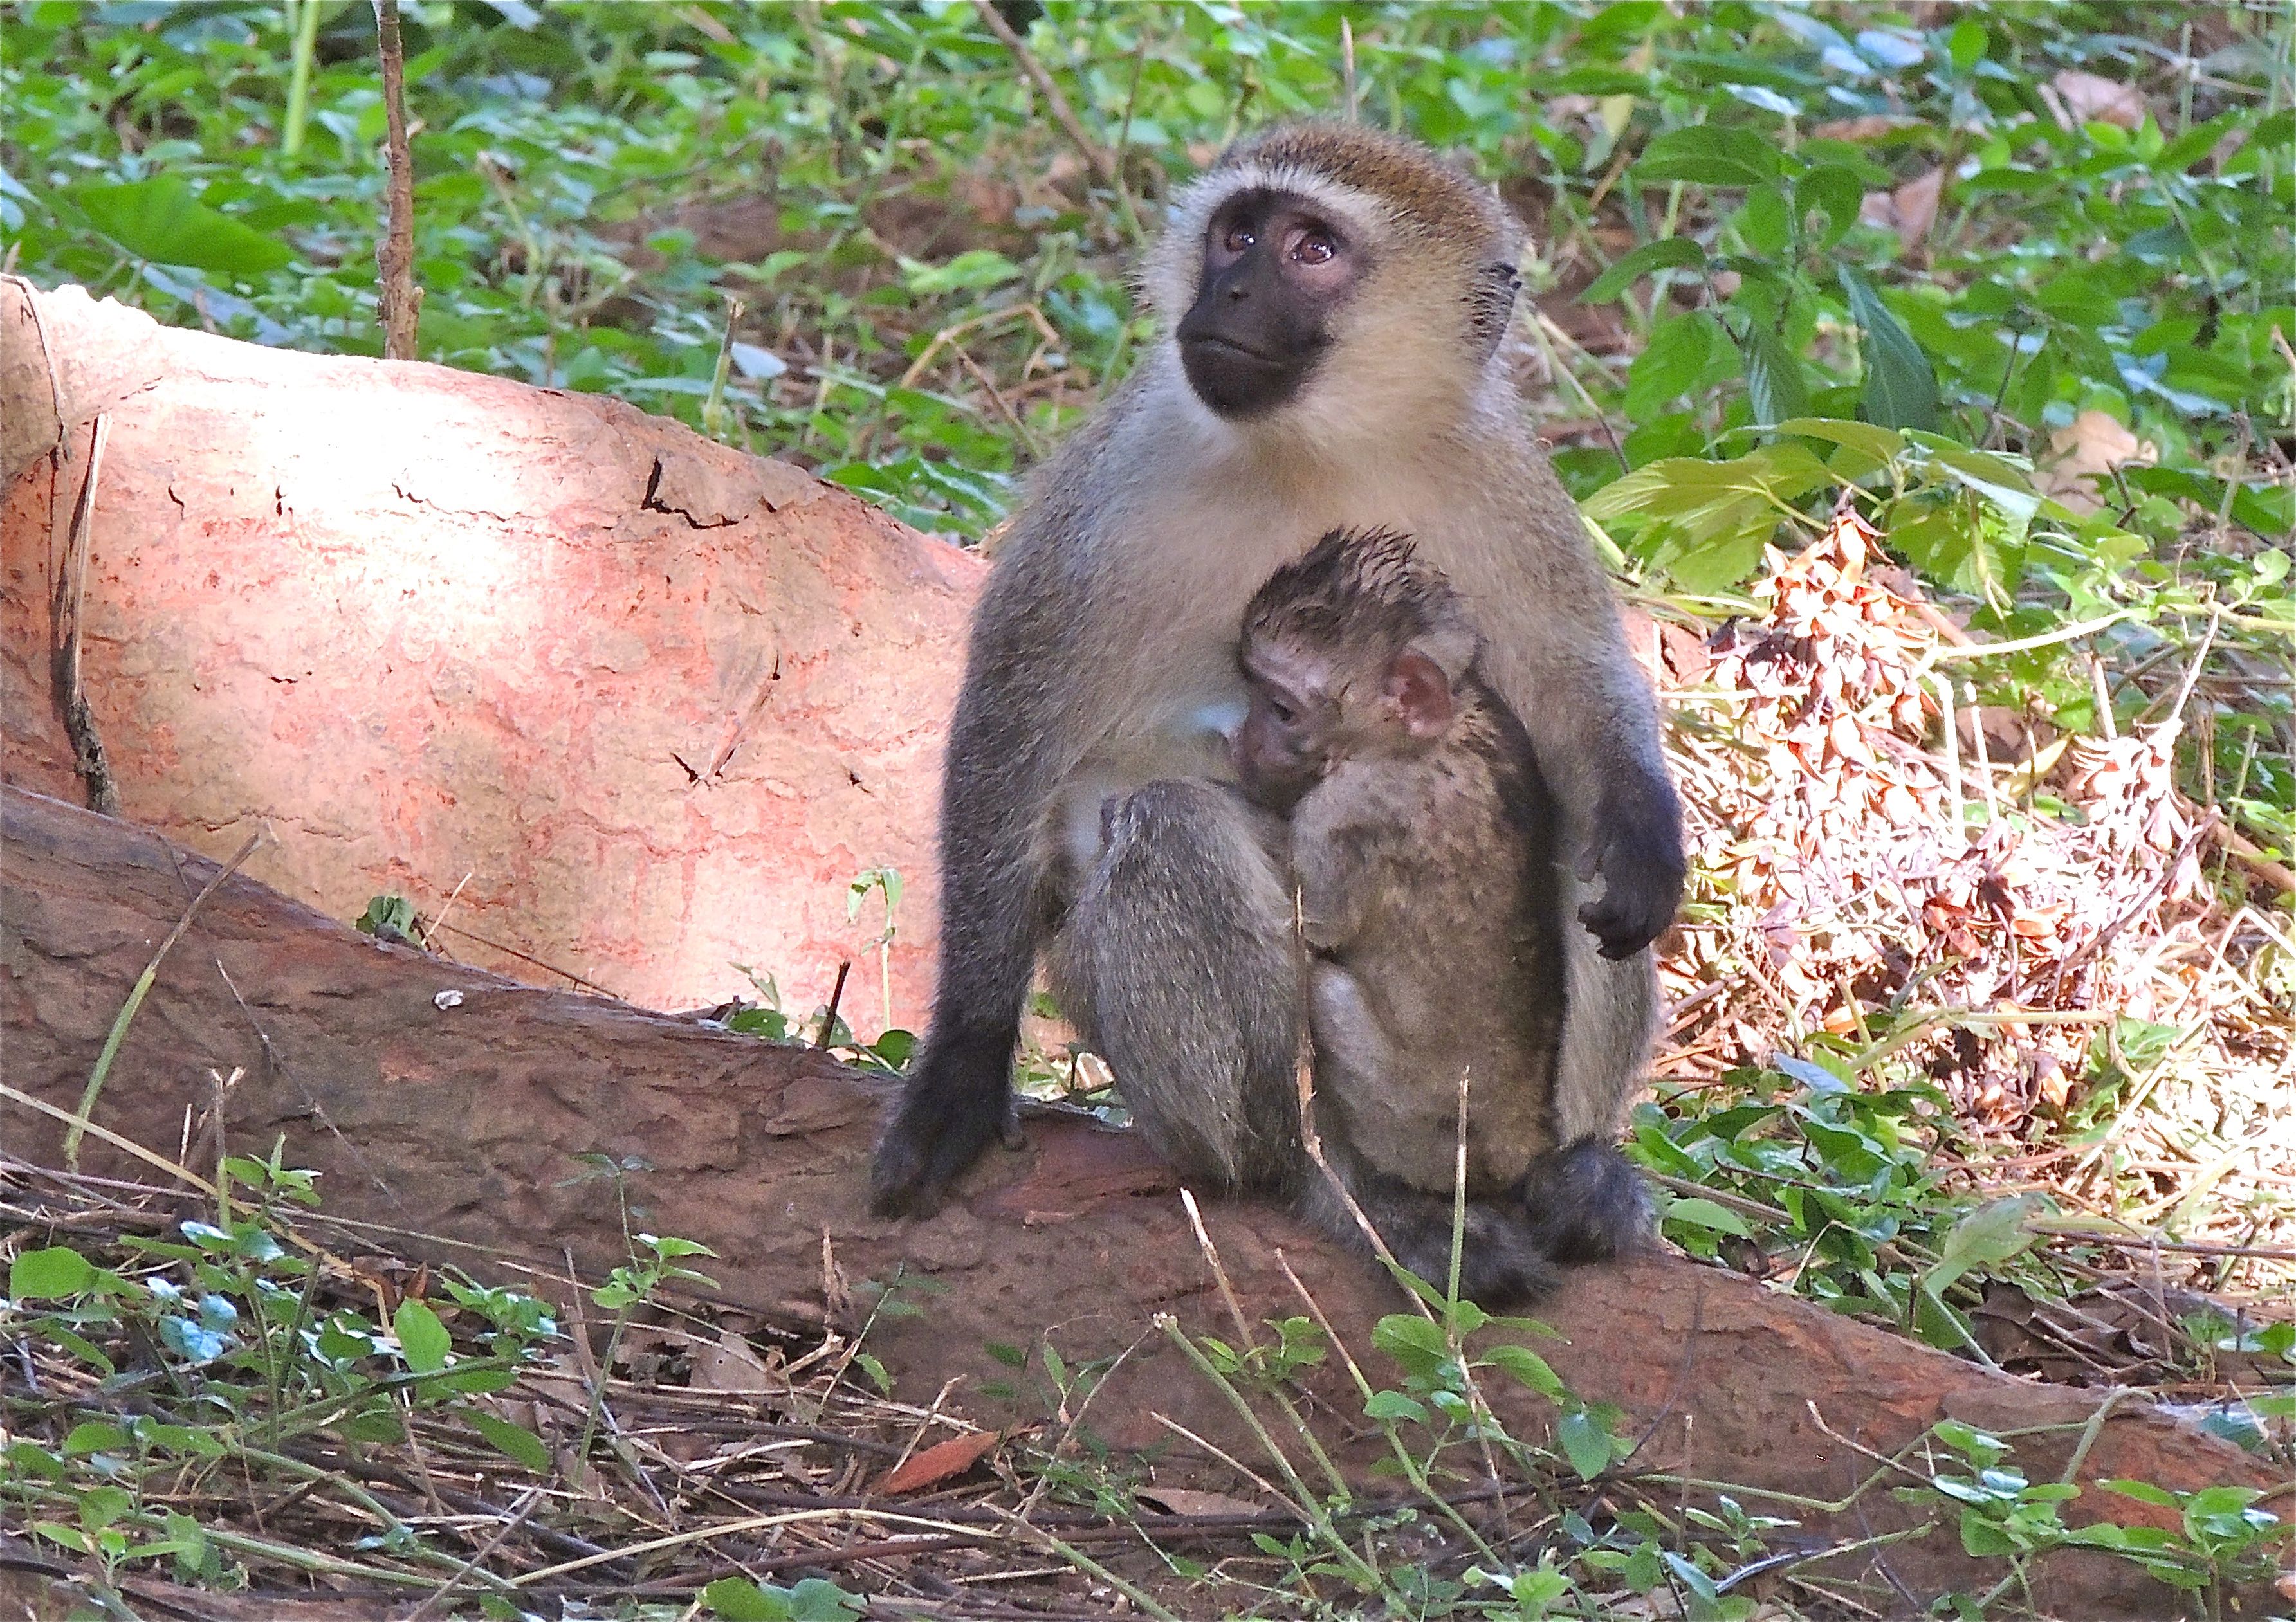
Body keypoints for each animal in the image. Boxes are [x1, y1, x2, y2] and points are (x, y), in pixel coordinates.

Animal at [868, 123, 1680, 1220]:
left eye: (1313, 249)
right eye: (1238, 233)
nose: (1232, 292)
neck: (1316, 449)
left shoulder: (1501, 486)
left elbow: (1572, 688)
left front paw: (1644, 835)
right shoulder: (1109, 496)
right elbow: (1009, 734)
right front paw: (963, 1058)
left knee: (1563, 839)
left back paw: (1569, 1172)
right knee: (1170, 825)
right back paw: (1276, 1168)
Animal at [1240, 532, 1653, 1303]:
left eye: (1280, 708)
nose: (1241, 740)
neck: (1431, 734)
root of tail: (1519, 1155)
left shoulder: (1346, 810)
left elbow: (1317, 925)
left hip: (1414, 1126)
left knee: (1326, 987)